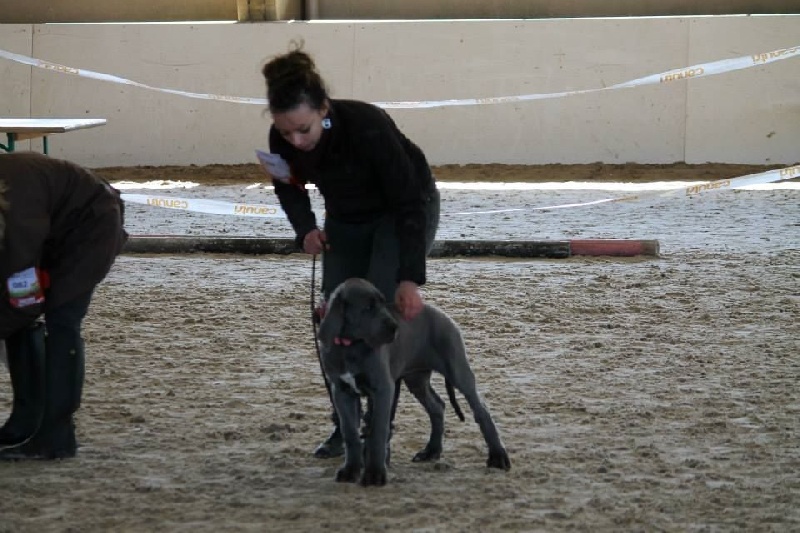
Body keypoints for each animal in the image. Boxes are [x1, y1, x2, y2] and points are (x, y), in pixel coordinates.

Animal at [318, 278, 511, 486]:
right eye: (368, 307)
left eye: (382, 303)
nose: (395, 328)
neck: (350, 347)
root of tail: (441, 314)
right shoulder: (341, 390)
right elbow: (350, 432)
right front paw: (350, 470)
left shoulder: (383, 389)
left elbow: (377, 432)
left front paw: (375, 474)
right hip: (416, 379)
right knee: (437, 406)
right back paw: (431, 451)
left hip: (457, 370)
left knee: (481, 410)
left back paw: (498, 457)